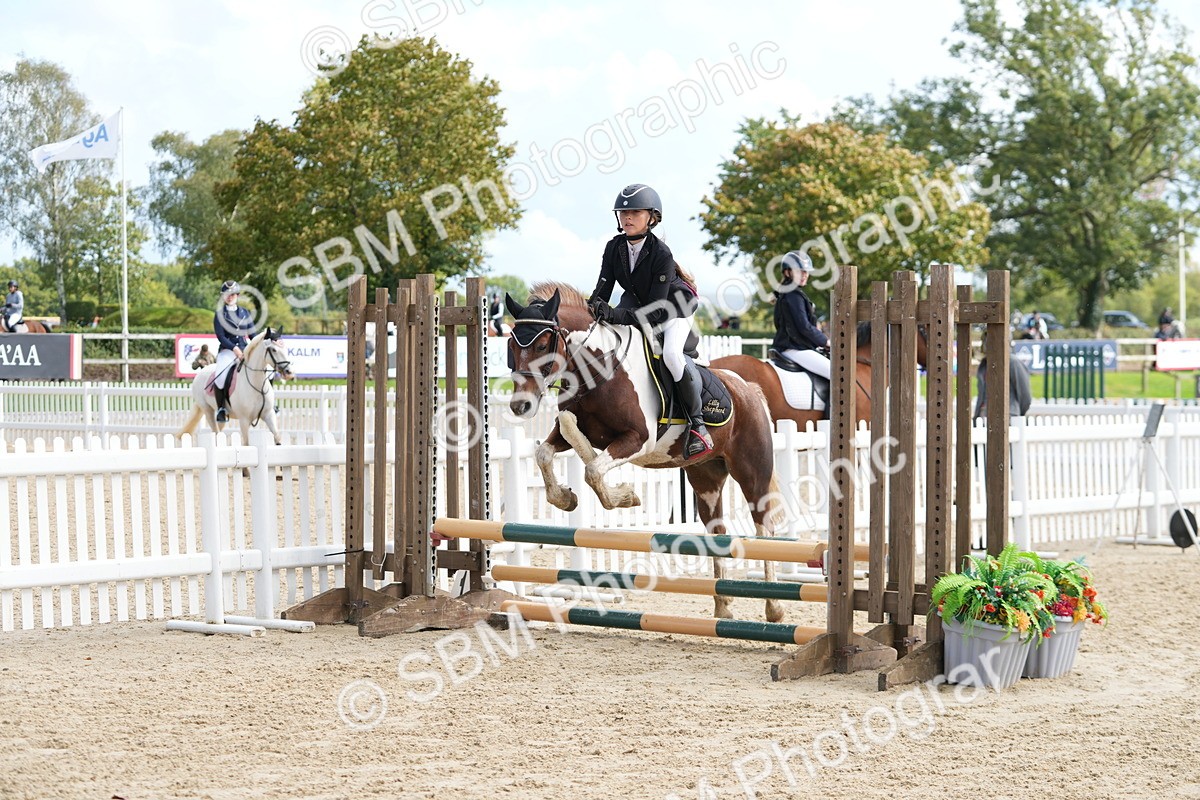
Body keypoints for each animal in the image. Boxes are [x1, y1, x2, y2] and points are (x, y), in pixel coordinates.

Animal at [505, 282, 786, 623]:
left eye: (544, 343)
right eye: (511, 345)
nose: (520, 406)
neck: (598, 368)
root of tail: (750, 389)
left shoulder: (638, 439)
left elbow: (593, 470)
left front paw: (626, 496)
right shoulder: (569, 434)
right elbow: (548, 453)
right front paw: (566, 498)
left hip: (751, 472)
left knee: (764, 527)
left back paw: (773, 607)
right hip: (706, 479)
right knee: (717, 530)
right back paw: (723, 605)